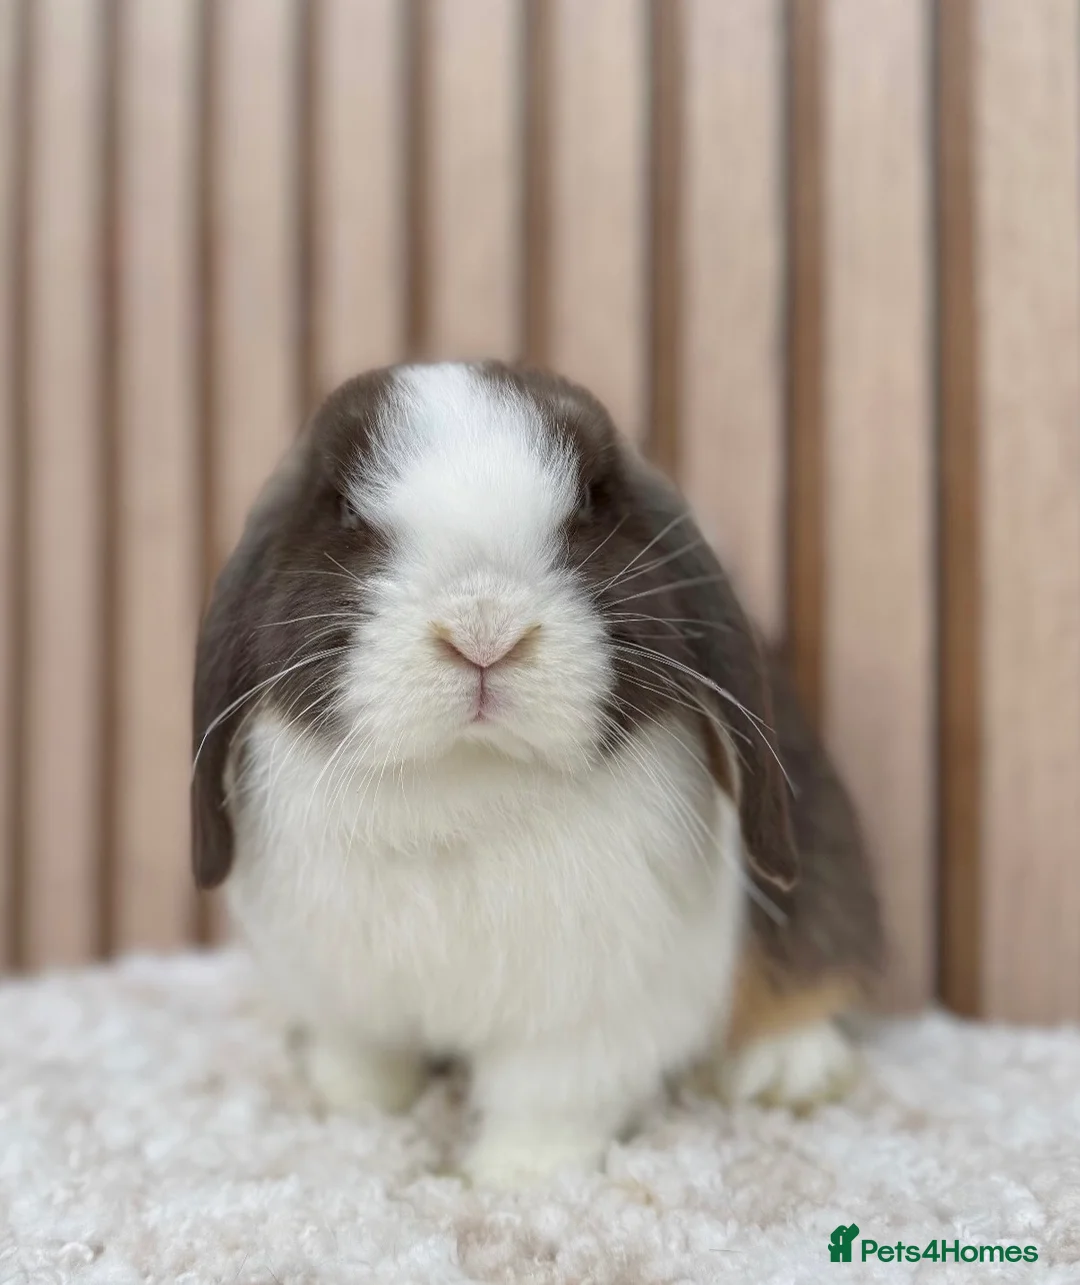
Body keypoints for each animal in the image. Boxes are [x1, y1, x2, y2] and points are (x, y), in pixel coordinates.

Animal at [192, 360, 883, 1187]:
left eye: (589, 503)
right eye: (346, 510)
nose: (484, 630)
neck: (463, 783)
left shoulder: (584, 1021)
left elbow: (548, 1101)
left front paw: (510, 1179)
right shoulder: (337, 990)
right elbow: (361, 1057)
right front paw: (350, 1111)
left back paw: (788, 1070)